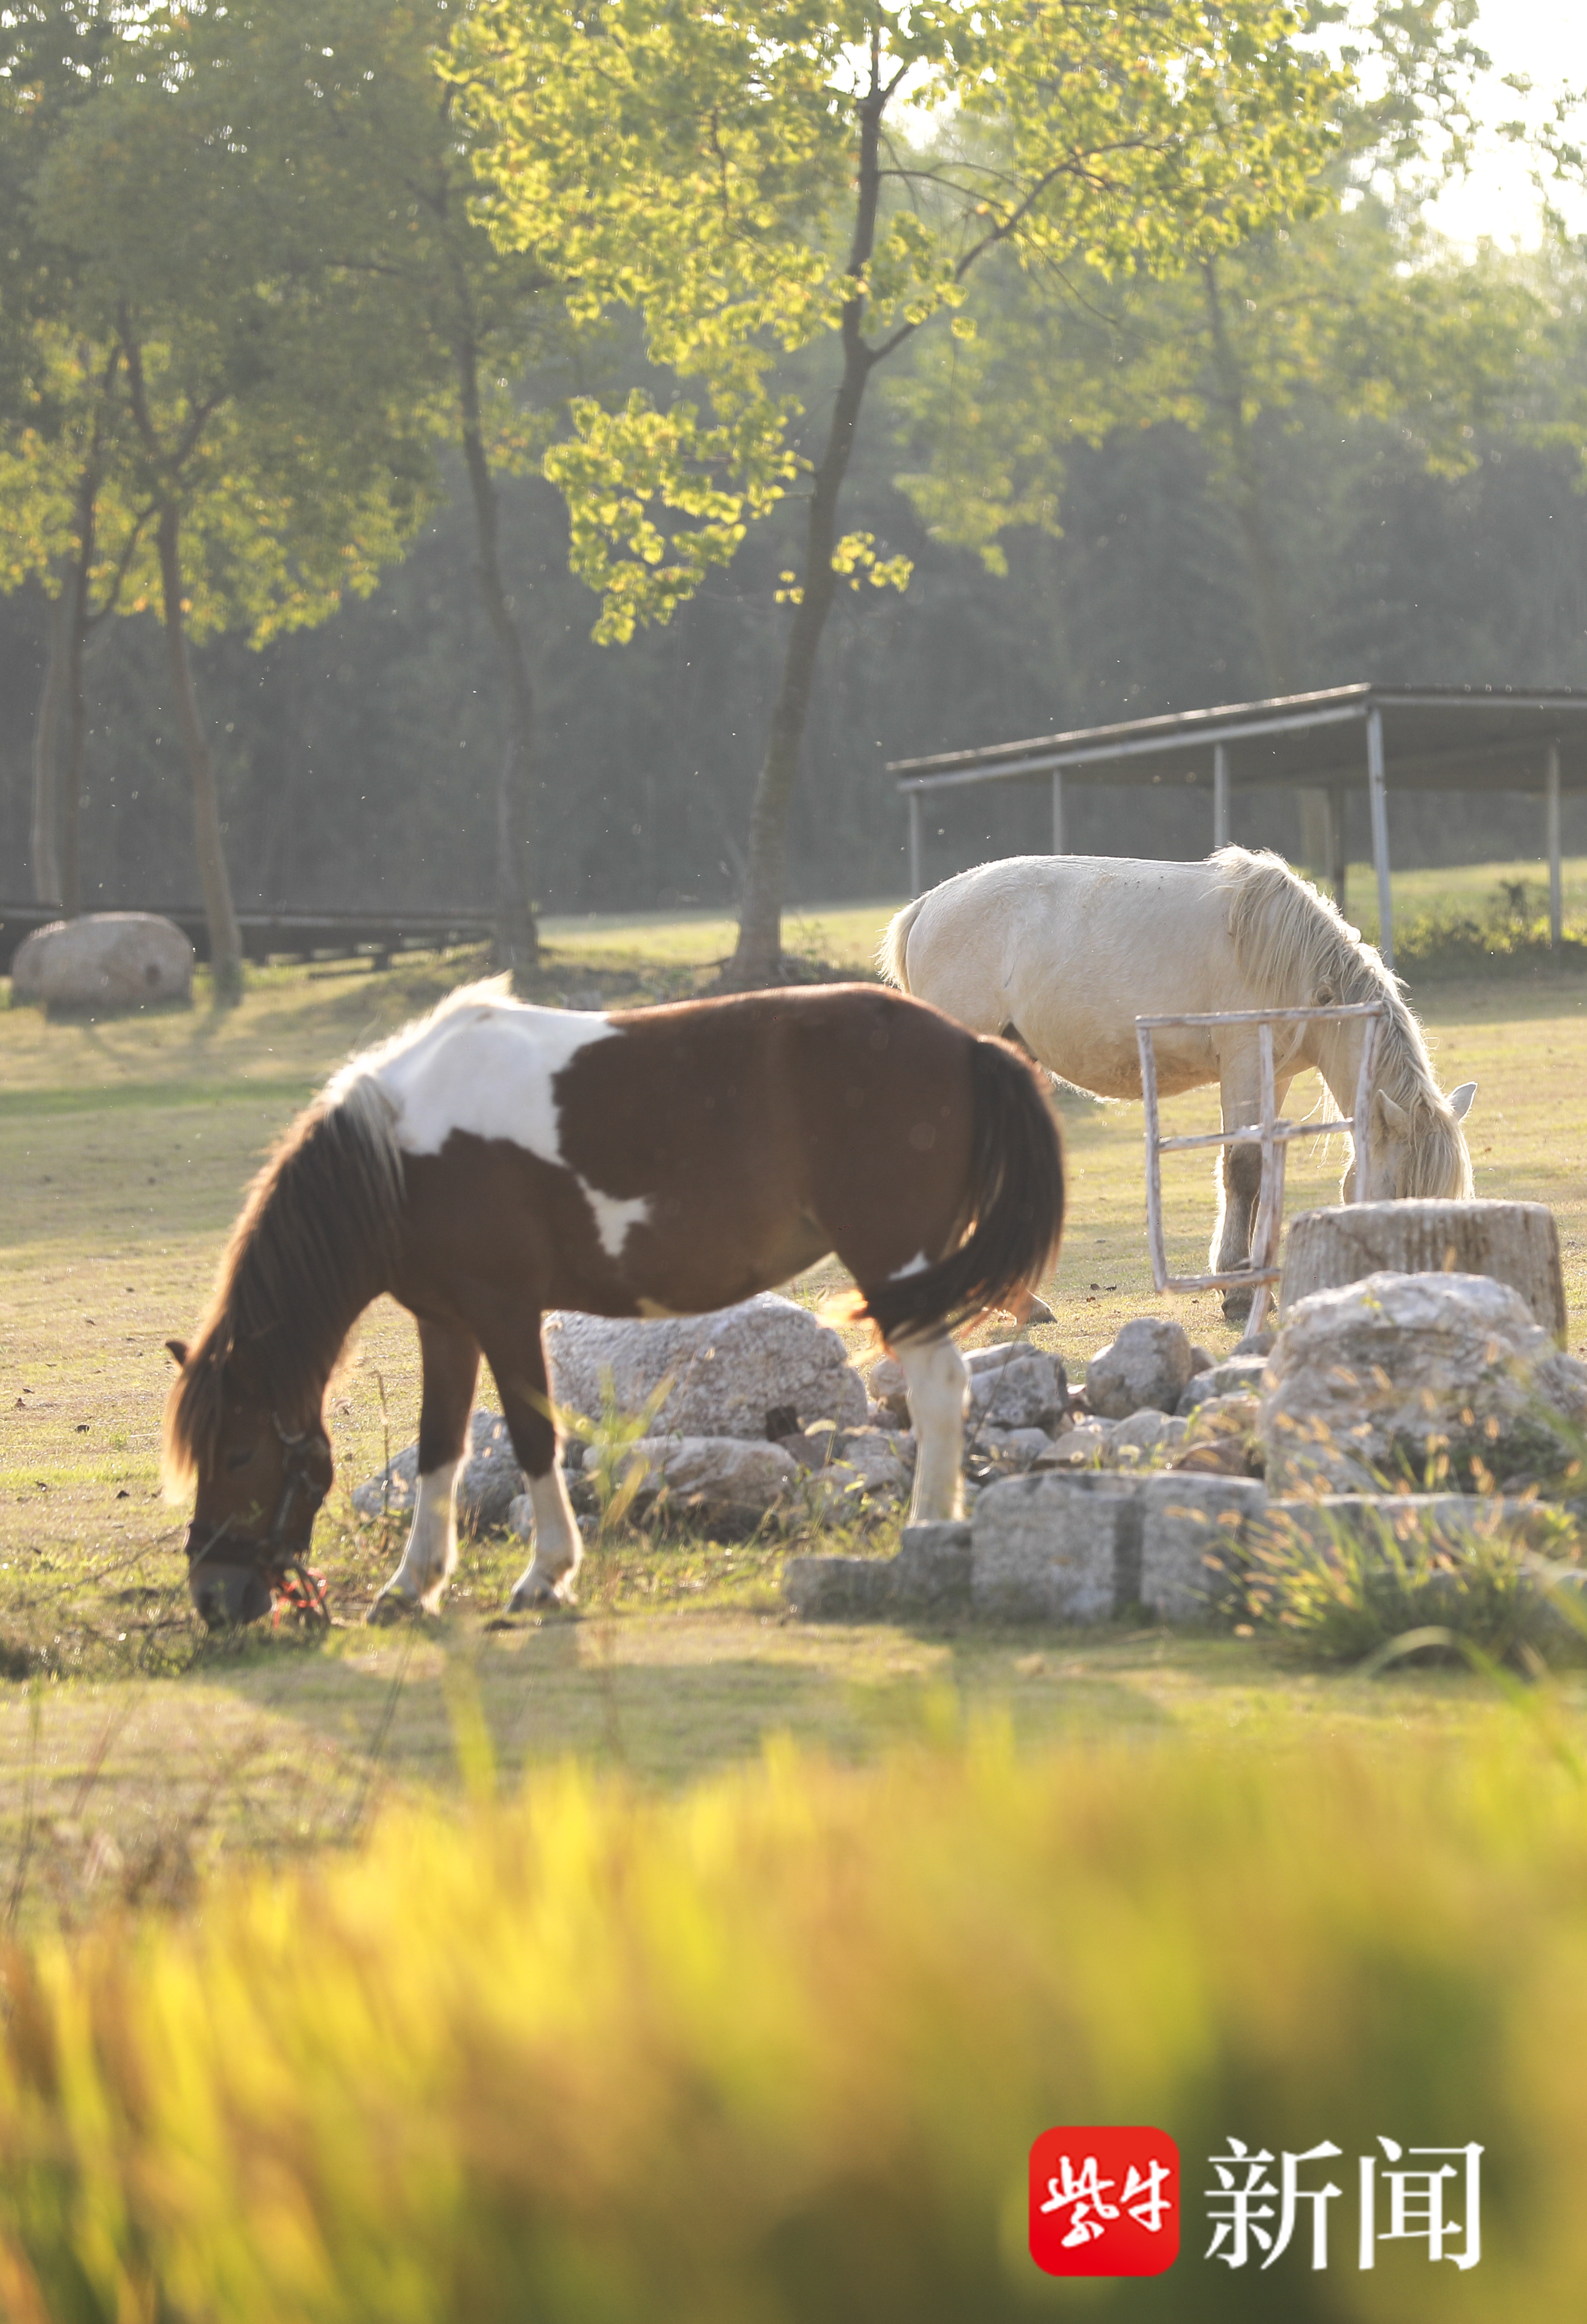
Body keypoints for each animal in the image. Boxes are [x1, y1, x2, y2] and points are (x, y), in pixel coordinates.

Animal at [161, 976, 1068, 1617]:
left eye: (237, 1453)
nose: (214, 1596)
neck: (401, 1153)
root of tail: (966, 1046)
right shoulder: (446, 1324)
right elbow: (438, 1451)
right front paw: (412, 1586)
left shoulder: (504, 1312)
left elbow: (534, 1436)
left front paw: (546, 1575)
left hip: (898, 1269)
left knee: (940, 1390)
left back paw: (927, 1529)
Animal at [883, 855, 1478, 1329]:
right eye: (1397, 1195)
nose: (1415, 1292)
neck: (1291, 960)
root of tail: (926, 908)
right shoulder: (1243, 1060)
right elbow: (1243, 1168)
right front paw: (1237, 1292)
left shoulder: (1276, 1074)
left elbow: (1263, 1166)